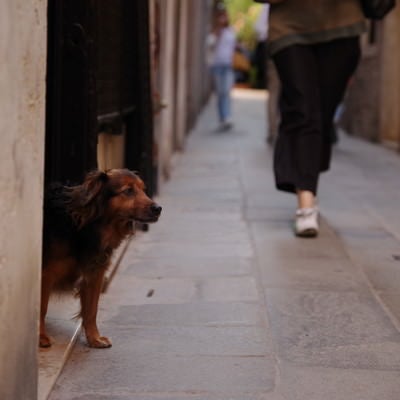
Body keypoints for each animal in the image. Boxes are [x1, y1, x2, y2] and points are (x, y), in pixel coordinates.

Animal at [39, 169, 161, 346]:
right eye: (128, 191)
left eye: (143, 190)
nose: (158, 208)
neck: (86, 227)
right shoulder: (46, 273)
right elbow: (41, 307)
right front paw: (41, 337)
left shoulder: (95, 272)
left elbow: (91, 310)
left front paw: (94, 338)